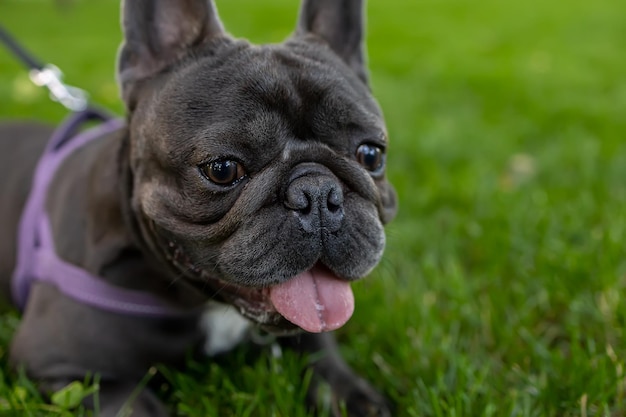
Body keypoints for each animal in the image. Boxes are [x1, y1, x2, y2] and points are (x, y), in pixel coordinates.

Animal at [1, 0, 394, 414]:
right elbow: (136, 406)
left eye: (371, 154)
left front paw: (351, 395)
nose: (317, 193)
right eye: (222, 169)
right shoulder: (67, 367)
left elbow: (320, 346)